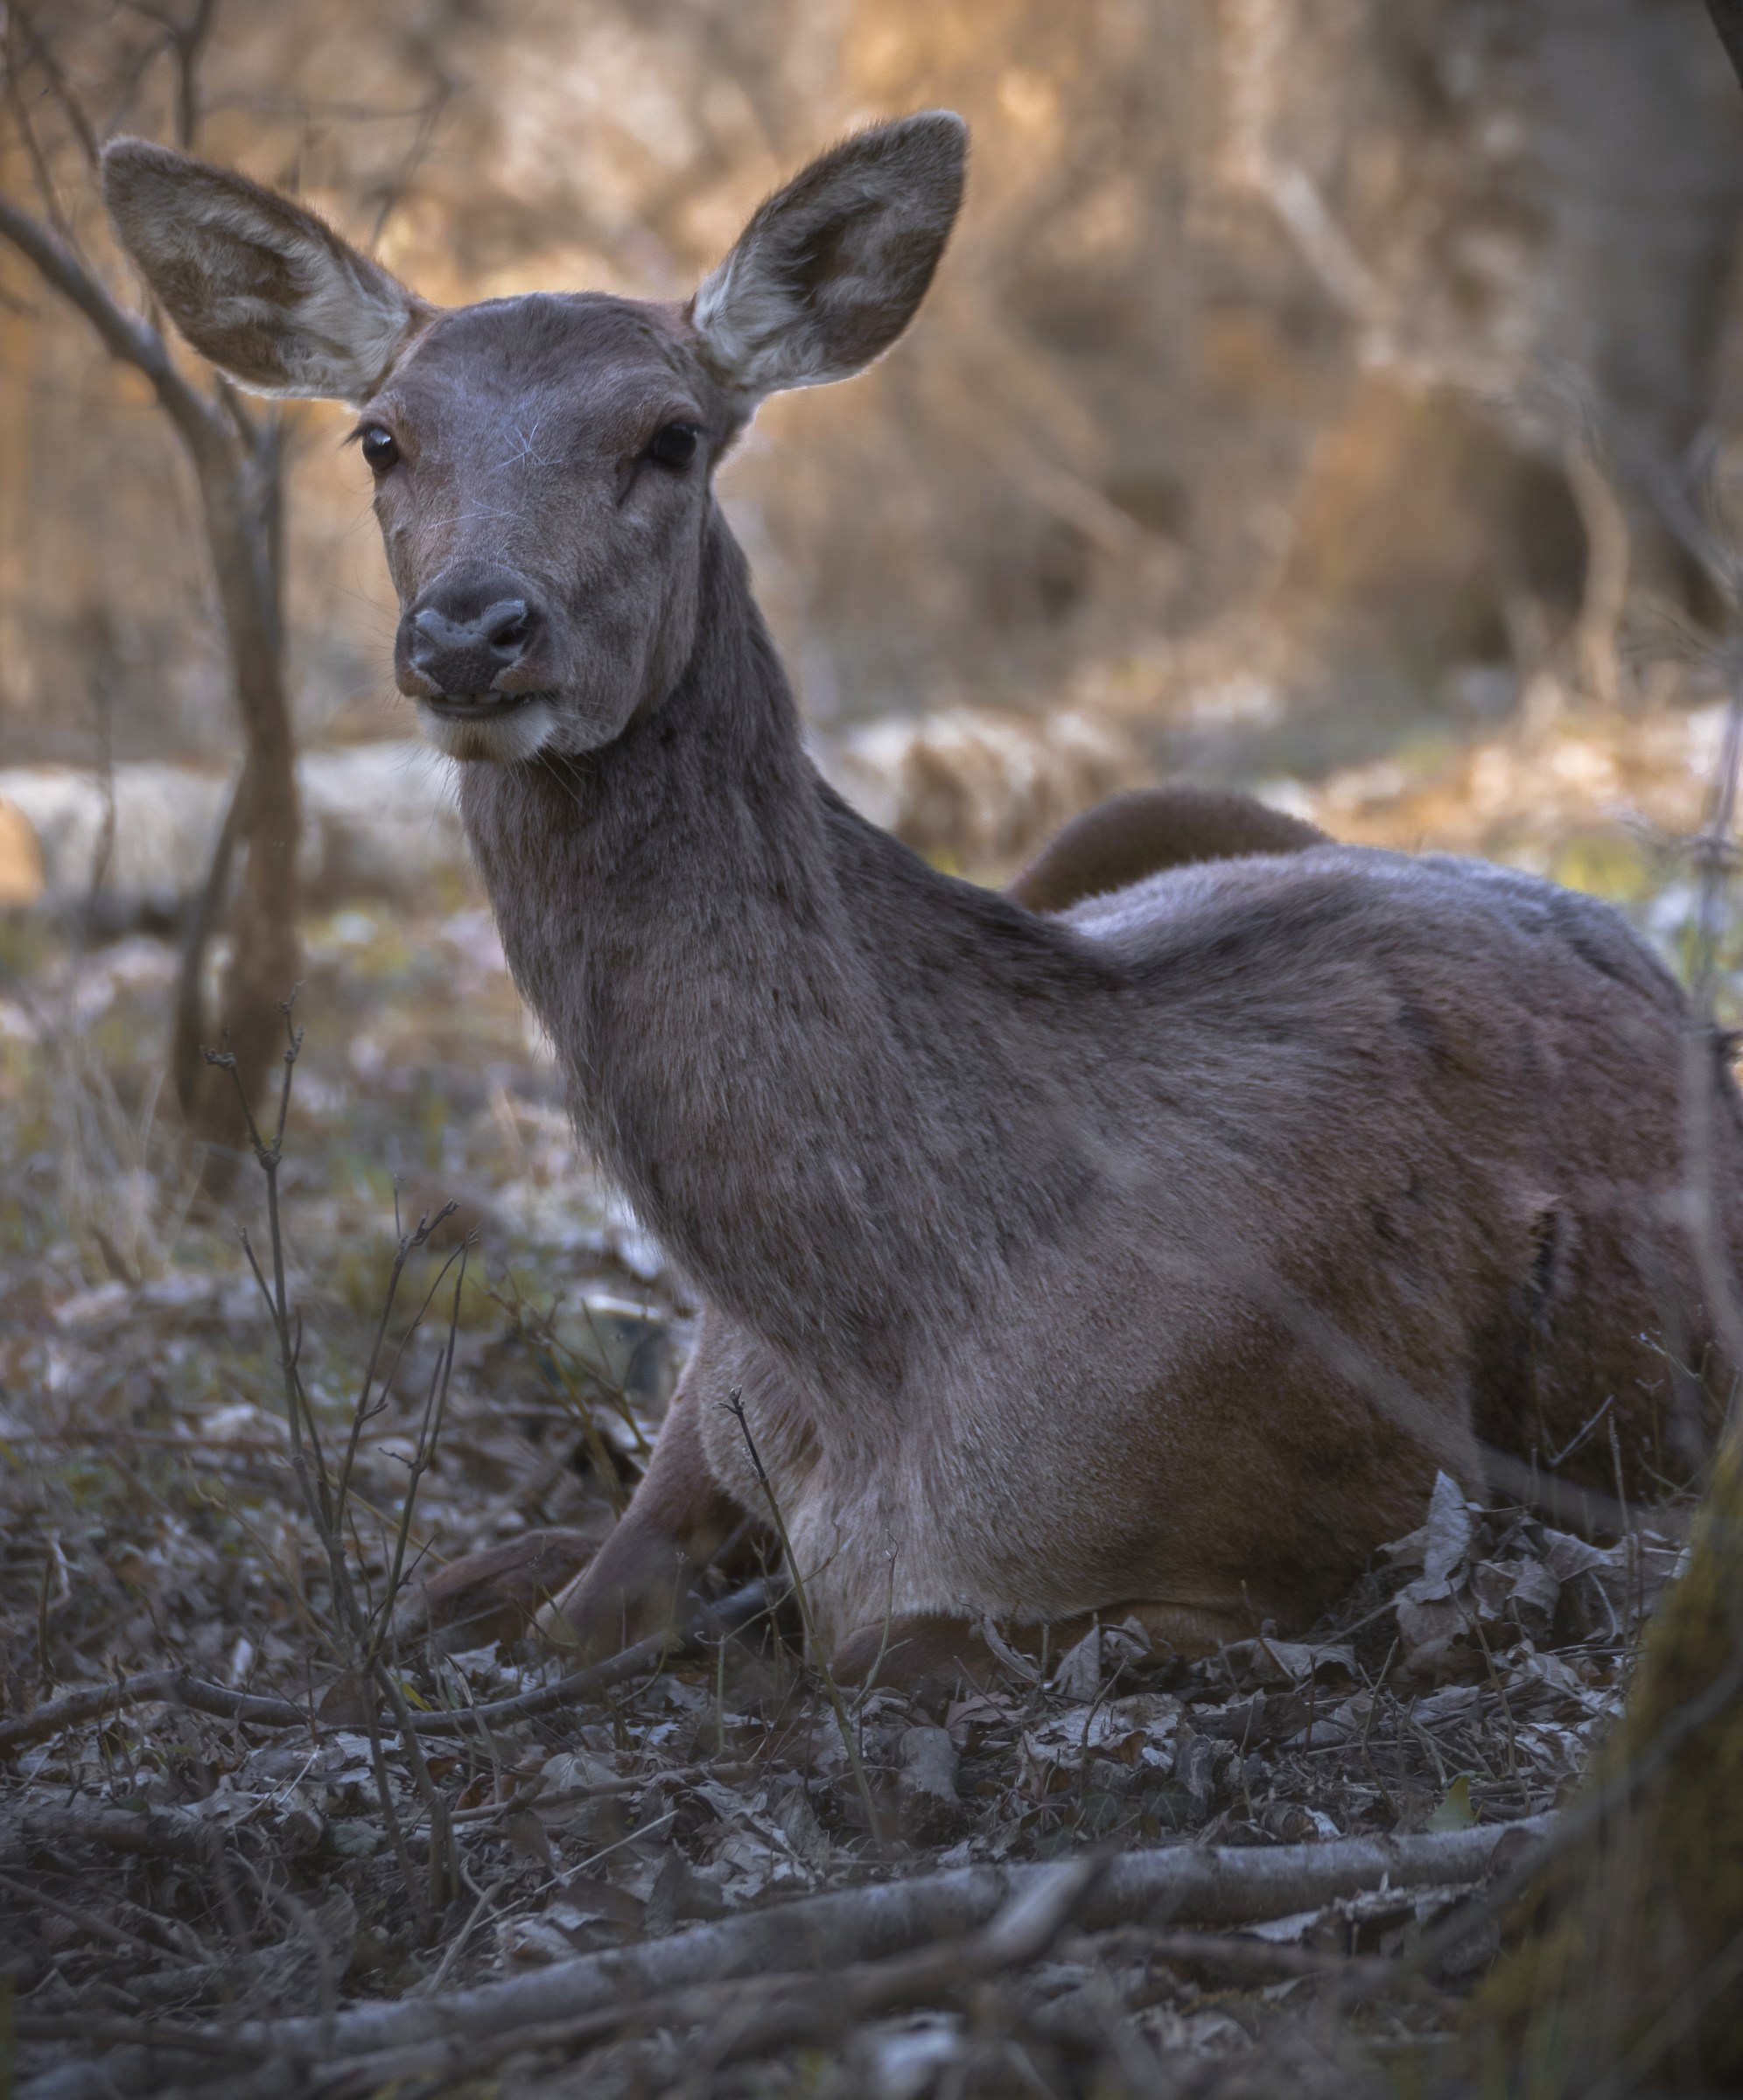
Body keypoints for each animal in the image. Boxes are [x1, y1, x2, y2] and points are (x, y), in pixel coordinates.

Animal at [104, 114, 1743, 1689]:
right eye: (382, 438)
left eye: (669, 435)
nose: (468, 631)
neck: (878, 1363)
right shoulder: (710, 1394)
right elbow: (547, 1604)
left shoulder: (1324, 1523)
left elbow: (880, 1651)